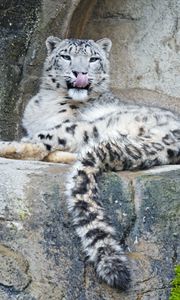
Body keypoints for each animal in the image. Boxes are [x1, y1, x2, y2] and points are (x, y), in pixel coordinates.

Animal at [0, 36, 180, 290]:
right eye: (66, 56)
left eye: (94, 59)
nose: (80, 73)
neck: (47, 103)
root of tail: (169, 143)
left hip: (91, 125)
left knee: (43, 143)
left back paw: (6, 145)